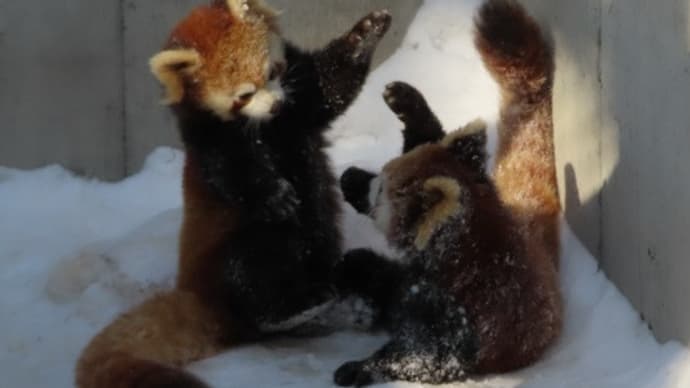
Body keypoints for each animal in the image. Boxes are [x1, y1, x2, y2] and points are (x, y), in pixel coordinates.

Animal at [332, 0, 560, 384]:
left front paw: (361, 367)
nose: (348, 177)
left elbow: (426, 358)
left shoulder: (463, 320)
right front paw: (407, 102)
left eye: (378, 193)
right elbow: (429, 139)